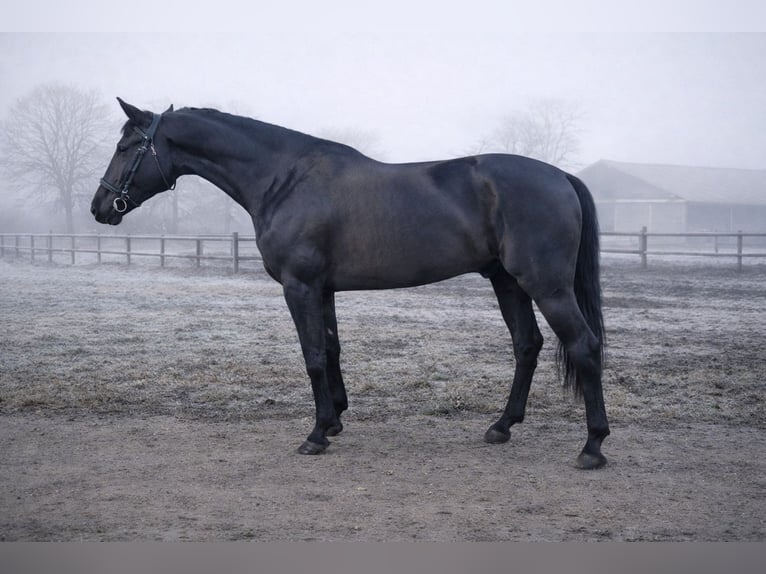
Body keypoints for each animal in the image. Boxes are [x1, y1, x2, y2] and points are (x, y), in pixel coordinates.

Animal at [91, 98, 610, 469]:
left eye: (125, 148)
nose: (100, 207)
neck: (283, 178)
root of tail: (560, 176)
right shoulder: (323, 289)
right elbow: (332, 349)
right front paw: (336, 419)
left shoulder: (299, 286)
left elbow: (313, 356)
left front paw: (316, 434)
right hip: (508, 282)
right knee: (527, 345)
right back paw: (501, 427)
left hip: (546, 286)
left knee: (584, 345)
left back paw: (592, 446)